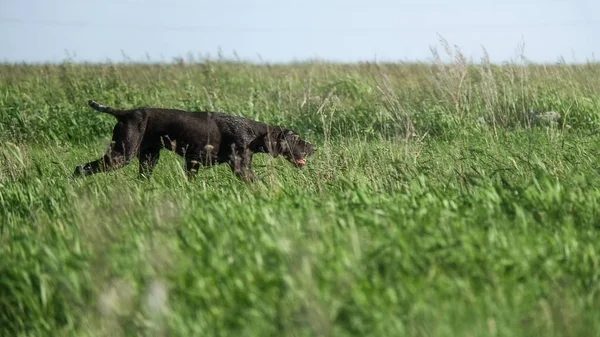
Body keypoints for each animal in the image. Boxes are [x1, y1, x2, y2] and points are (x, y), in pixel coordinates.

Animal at [74, 100, 318, 181]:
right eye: (296, 139)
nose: (314, 148)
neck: (252, 134)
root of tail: (124, 113)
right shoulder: (241, 168)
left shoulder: (193, 163)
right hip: (121, 155)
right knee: (80, 168)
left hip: (148, 158)